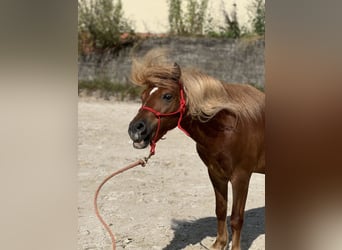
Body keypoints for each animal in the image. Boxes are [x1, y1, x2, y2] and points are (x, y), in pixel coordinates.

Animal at [128, 49, 264, 250]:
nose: (135, 129)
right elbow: (221, 210)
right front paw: (218, 244)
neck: (228, 128)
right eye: (143, 96)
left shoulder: (241, 177)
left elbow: (236, 218)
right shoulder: (216, 174)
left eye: (167, 96)